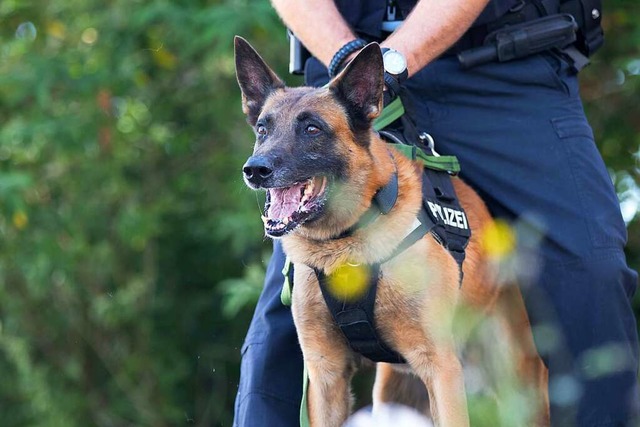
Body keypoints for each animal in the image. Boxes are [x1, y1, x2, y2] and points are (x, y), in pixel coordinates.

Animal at [235, 36, 552, 427]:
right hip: (395, 395)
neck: (344, 243)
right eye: (263, 130)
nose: (255, 170)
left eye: (312, 129)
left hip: (518, 384)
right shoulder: (325, 376)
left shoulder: (441, 368)